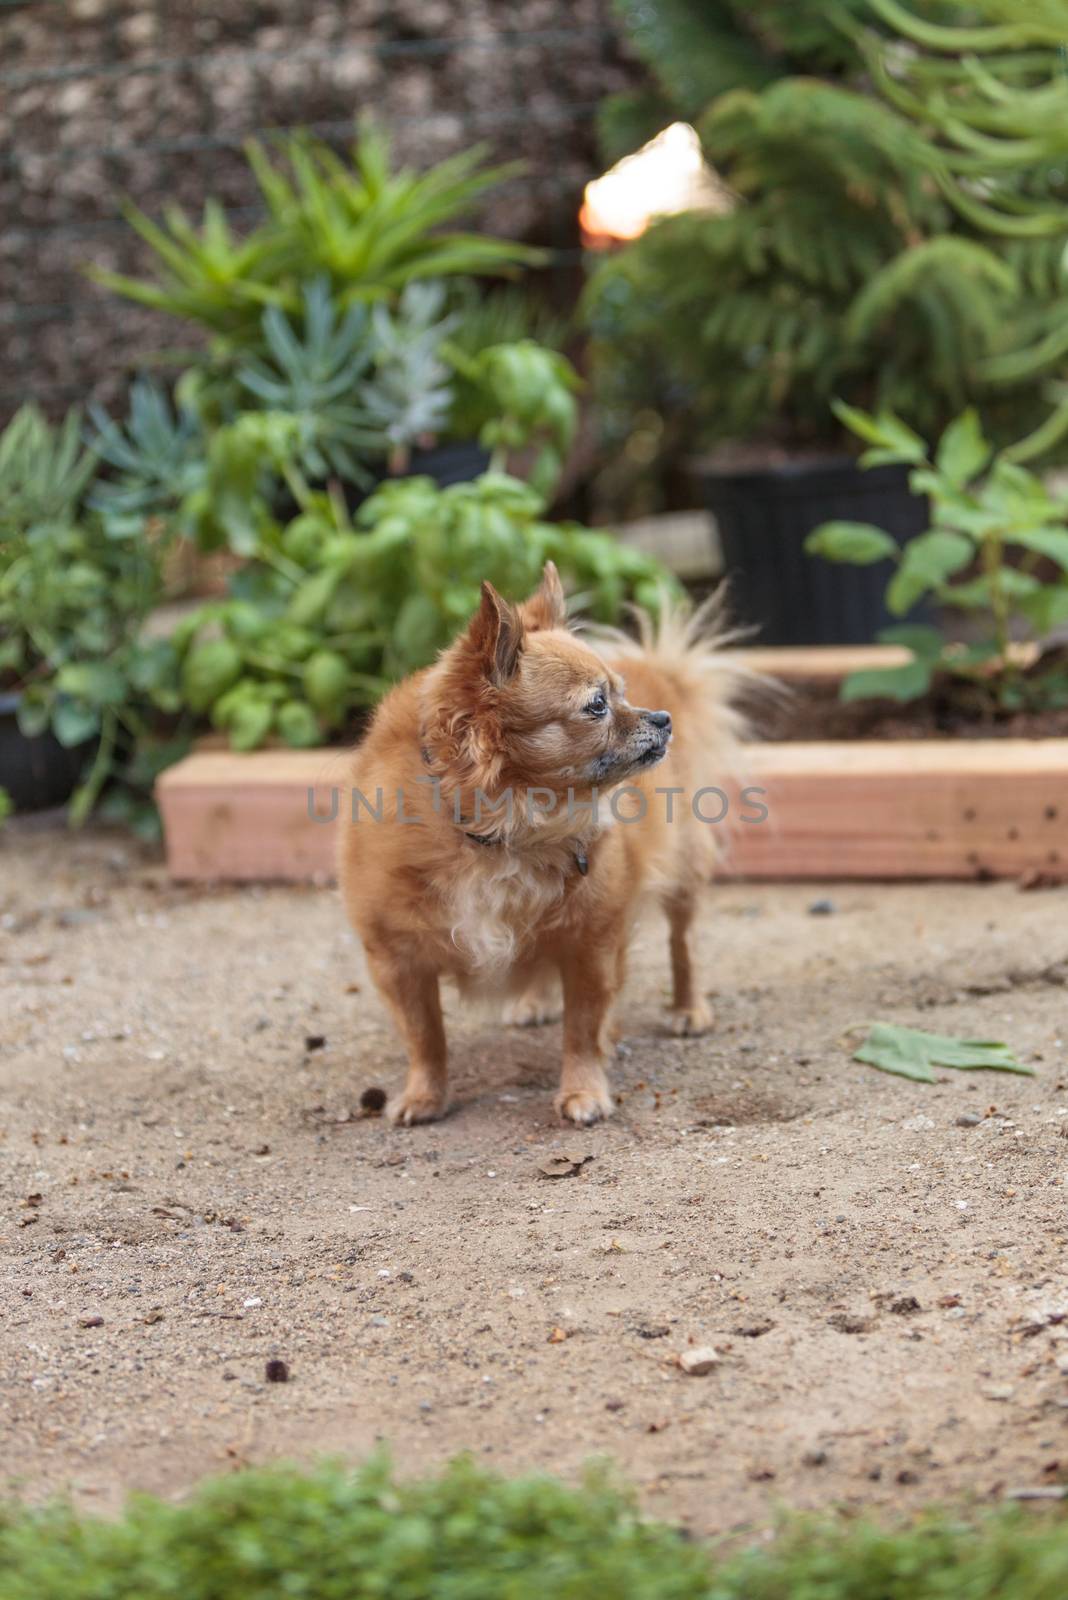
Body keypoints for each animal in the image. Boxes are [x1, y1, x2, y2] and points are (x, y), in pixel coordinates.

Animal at [340, 563, 741, 1126]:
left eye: (620, 693)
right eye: (597, 704)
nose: (662, 718)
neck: (501, 834)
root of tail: (662, 671)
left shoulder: (592, 942)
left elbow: (582, 1028)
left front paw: (583, 1090)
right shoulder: (398, 959)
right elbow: (424, 1035)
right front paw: (424, 1095)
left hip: (682, 871)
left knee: (682, 943)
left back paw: (687, 1008)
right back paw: (535, 1001)